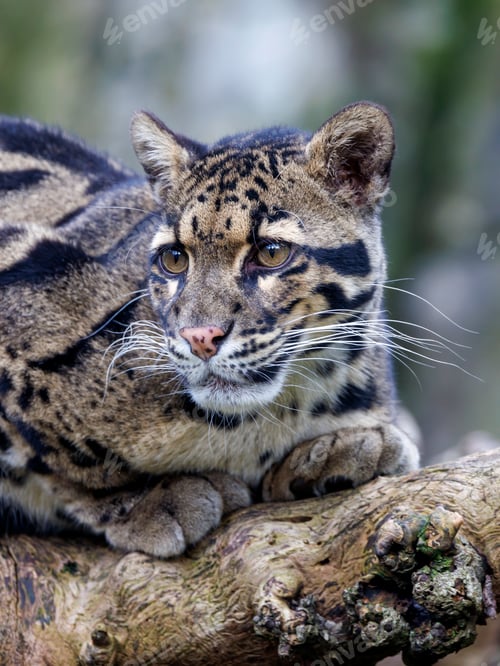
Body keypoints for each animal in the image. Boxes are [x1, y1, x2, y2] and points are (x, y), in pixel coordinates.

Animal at [0, 102, 419, 558]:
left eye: (272, 252)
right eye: (174, 259)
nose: (200, 338)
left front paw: (336, 452)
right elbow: (65, 460)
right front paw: (149, 500)